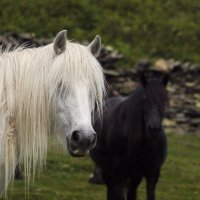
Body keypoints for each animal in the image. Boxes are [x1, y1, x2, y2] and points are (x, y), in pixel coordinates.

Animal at [90, 70, 170, 200]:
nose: (154, 128)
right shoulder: (119, 173)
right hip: (107, 171)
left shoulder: (151, 173)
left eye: (165, 99)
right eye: (144, 99)